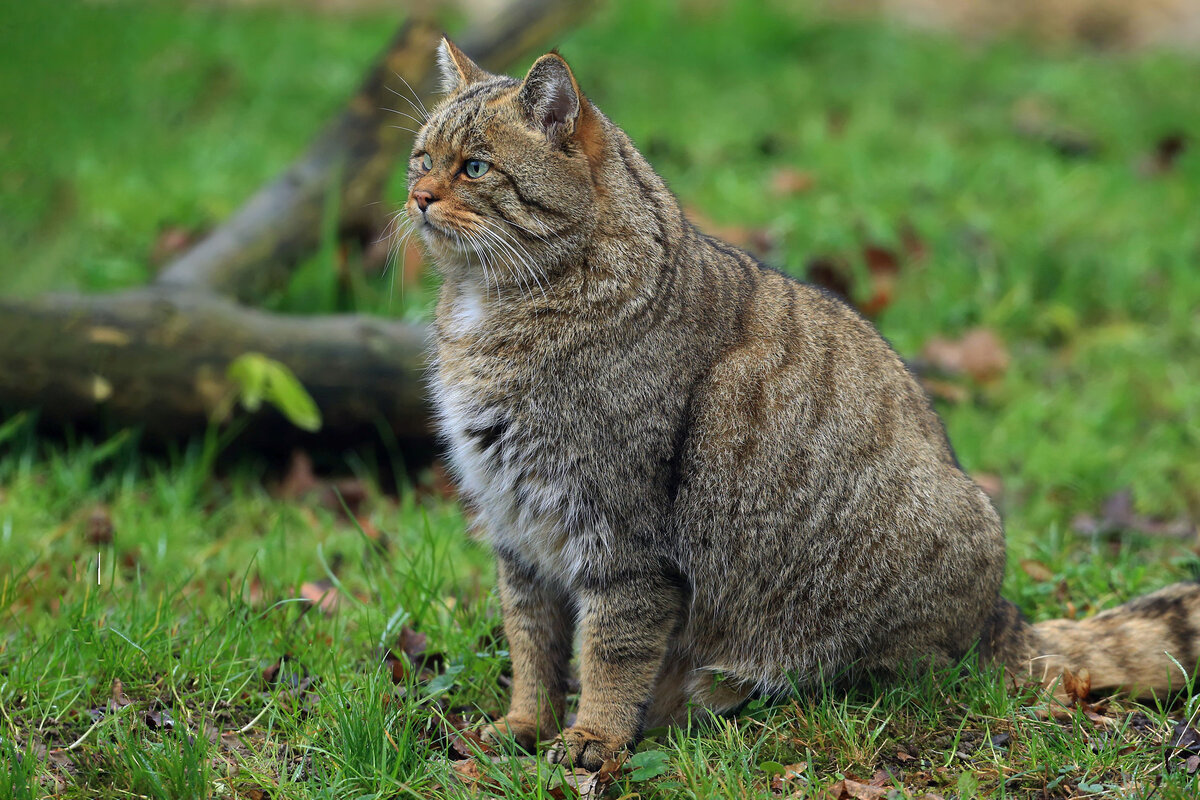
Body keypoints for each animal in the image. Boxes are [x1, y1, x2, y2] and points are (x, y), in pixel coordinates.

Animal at [405, 37, 1200, 767]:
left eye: (474, 167)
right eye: (420, 158)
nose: (417, 197)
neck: (490, 310)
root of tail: (1002, 616)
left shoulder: (622, 537)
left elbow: (611, 651)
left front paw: (593, 739)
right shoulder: (516, 531)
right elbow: (531, 643)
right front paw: (523, 725)